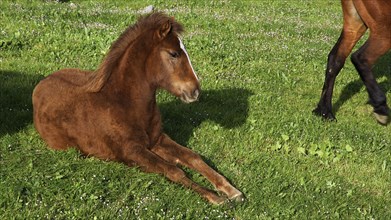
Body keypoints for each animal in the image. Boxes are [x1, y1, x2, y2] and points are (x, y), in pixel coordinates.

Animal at [32, 12, 243, 205]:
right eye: (174, 53)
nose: (195, 91)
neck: (124, 104)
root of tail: (42, 82)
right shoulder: (132, 151)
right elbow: (174, 170)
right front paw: (215, 197)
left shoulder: (158, 139)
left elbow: (193, 157)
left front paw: (231, 190)